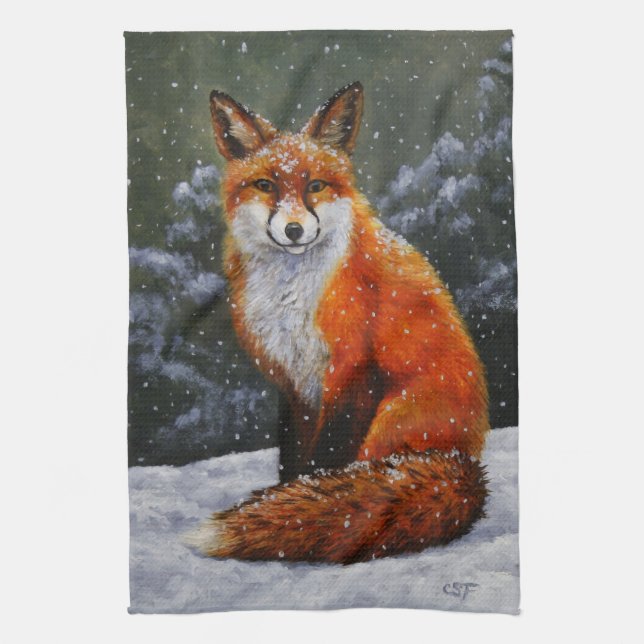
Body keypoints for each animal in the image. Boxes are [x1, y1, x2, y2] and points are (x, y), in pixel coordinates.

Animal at [187, 82, 490, 564]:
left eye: (315, 185)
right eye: (265, 185)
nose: (294, 230)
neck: (292, 296)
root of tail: (468, 461)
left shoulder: (355, 369)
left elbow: (325, 458)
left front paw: (294, 510)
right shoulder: (293, 382)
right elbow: (293, 458)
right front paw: (285, 500)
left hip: (391, 421)